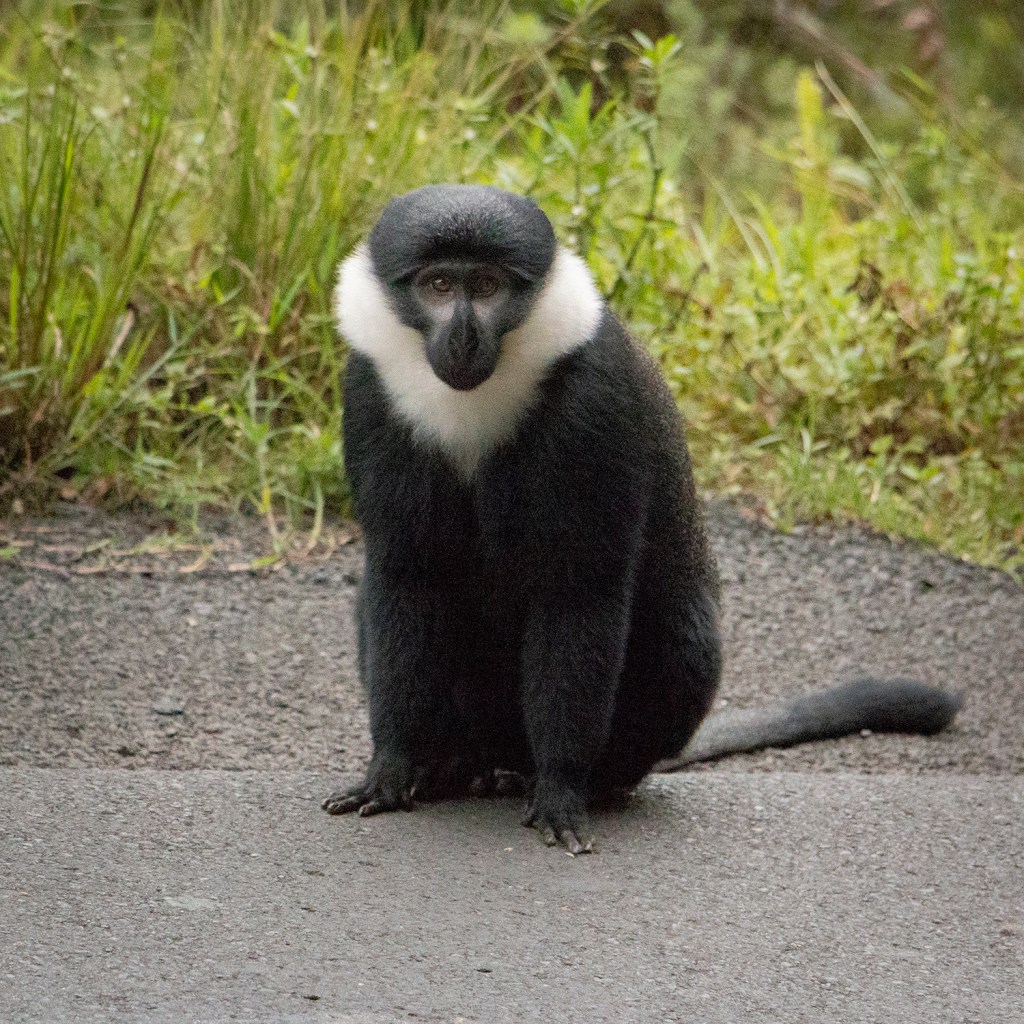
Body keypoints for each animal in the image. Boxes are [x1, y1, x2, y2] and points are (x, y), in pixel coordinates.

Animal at [321, 184, 962, 854]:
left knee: (683, 646)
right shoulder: (370, 391)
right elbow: (406, 575)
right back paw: (451, 766)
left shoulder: (593, 406)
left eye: (490, 285)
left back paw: (572, 781)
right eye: (440, 285)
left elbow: (581, 590)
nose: (465, 336)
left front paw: (561, 788)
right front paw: (393, 768)